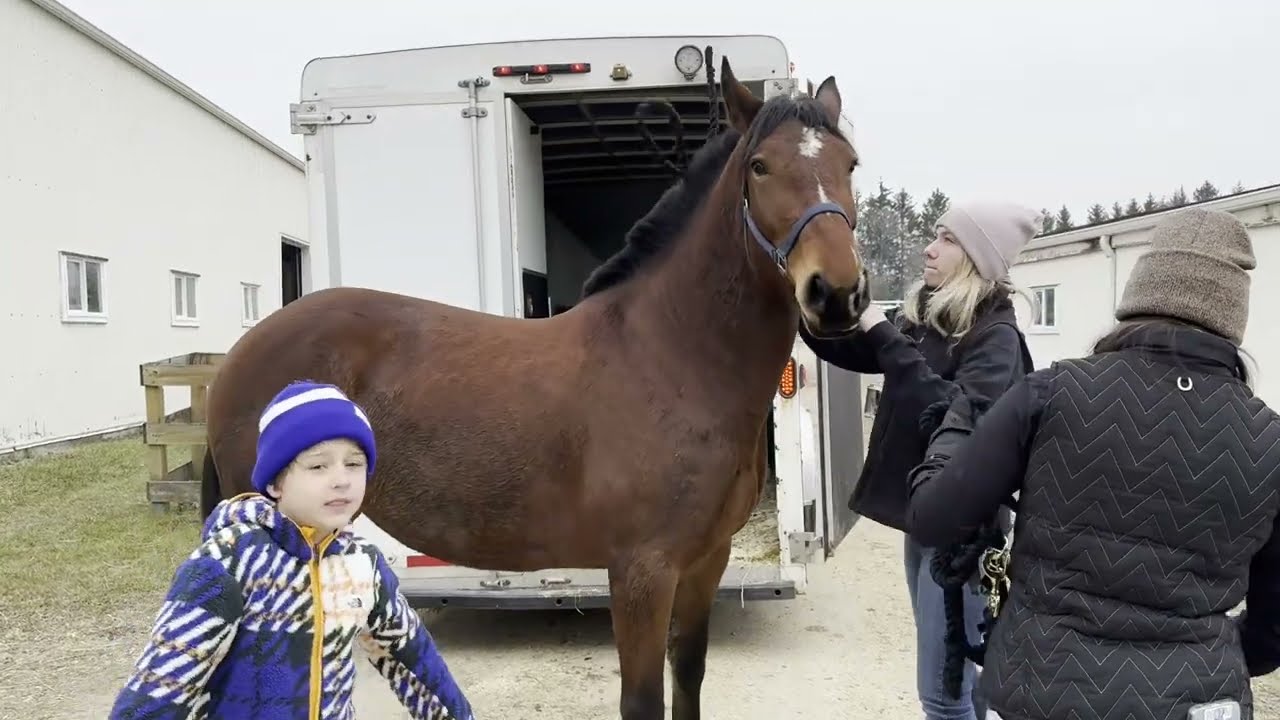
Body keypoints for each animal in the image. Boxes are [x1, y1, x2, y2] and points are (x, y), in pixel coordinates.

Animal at [200, 56, 868, 720]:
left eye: (850, 163)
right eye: (760, 166)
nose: (836, 293)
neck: (671, 356)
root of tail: (245, 350)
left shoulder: (706, 562)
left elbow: (688, 678)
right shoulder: (642, 572)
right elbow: (643, 699)